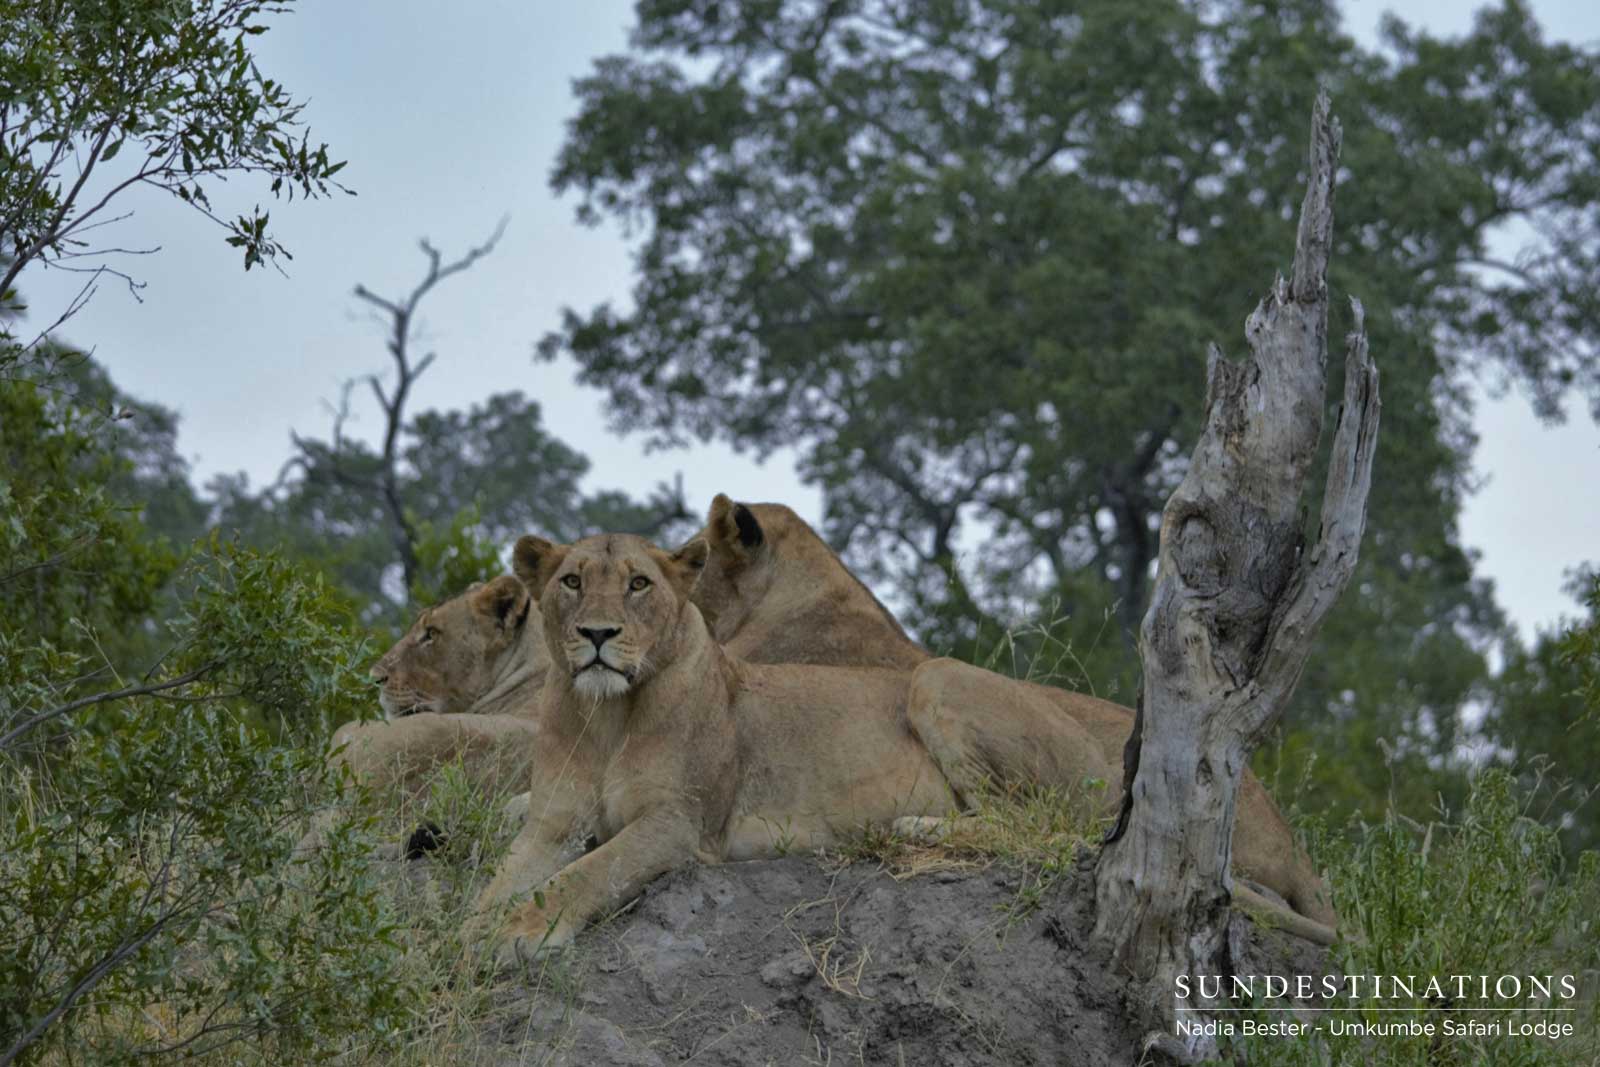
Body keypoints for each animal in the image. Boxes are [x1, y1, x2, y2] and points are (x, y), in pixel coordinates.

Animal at [473, 533, 958, 960]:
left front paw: (521, 930)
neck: (606, 714)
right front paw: (473, 932)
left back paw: (917, 826)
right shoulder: (552, 824)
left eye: (639, 584)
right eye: (572, 581)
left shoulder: (679, 822)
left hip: (934, 679)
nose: (597, 633)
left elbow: (590, 872)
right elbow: (498, 882)